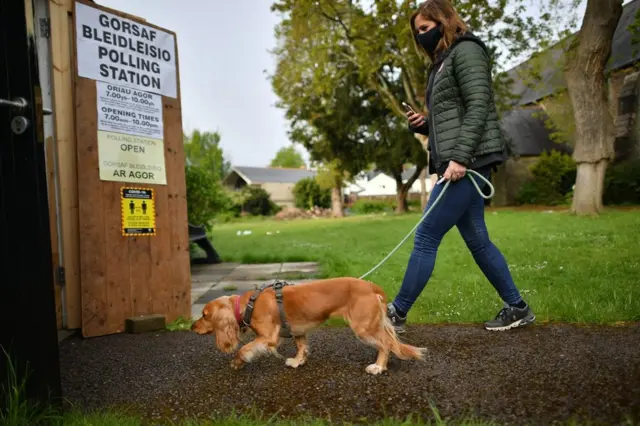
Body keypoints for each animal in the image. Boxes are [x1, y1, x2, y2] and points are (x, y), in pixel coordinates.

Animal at [190, 276, 424, 372]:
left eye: (204, 314)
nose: (191, 327)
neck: (249, 304)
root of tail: (372, 287)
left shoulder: (267, 337)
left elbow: (244, 349)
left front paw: (238, 362)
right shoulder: (298, 331)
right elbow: (302, 347)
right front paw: (297, 361)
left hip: (363, 327)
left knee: (386, 345)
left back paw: (378, 367)